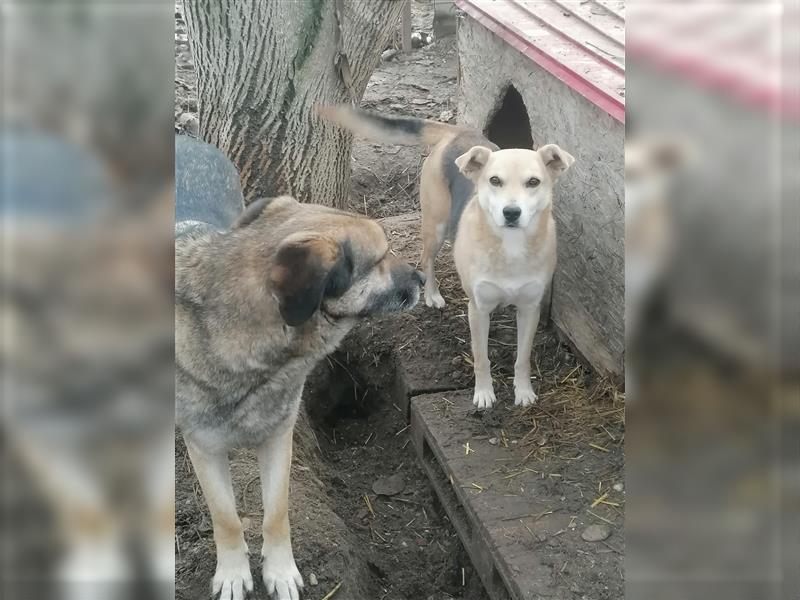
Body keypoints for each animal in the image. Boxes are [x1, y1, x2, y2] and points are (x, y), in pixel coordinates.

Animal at [176, 136, 424, 600]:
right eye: (382, 258)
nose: (421, 278)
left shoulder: (280, 435)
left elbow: (276, 512)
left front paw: (280, 571)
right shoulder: (203, 446)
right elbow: (226, 518)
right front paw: (233, 572)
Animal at [316, 106, 572, 408]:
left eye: (533, 182)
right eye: (494, 180)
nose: (511, 213)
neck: (510, 246)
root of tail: (458, 132)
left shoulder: (530, 309)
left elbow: (523, 357)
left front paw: (523, 391)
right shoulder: (477, 310)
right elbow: (481, 358)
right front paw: (484, 393)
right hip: (435, 227)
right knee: (427, 260)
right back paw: (432, 295)